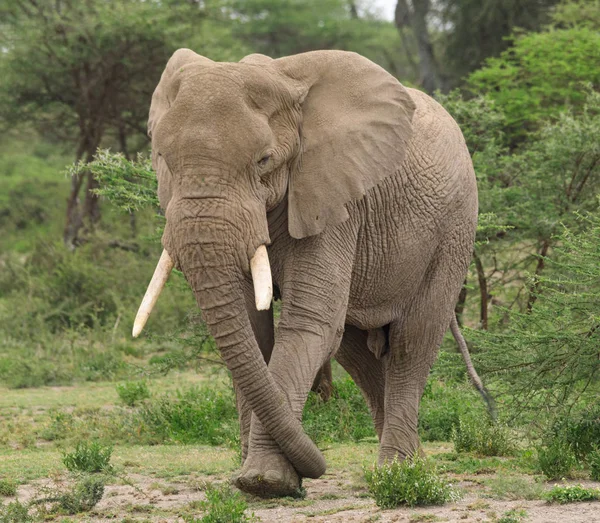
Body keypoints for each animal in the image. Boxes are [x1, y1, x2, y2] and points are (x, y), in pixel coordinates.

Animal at [131, 48, 488, 500]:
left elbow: (308, 323)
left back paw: (399, 475)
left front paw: (265, 481)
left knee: (413, 340)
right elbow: (253, 329)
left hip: (455, 229)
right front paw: (254, 479)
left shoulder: (334, 199)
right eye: (164, 161)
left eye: (263, 161)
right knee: (357, 352)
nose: (319, 467)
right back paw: (410, 466)